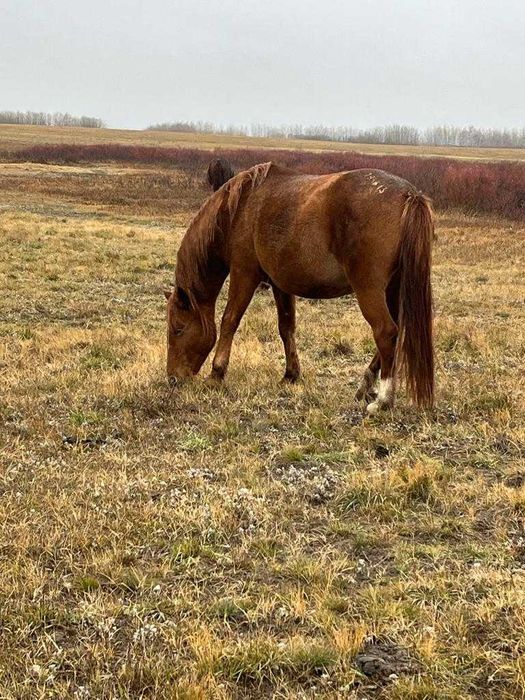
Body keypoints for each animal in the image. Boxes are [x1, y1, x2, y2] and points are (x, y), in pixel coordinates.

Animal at [164, 162, 434, 414]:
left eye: (178, 329)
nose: (173, 378)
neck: (238, 210)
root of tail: (409, 194)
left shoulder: (244, 273)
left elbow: (229, 320)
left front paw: (216, 374)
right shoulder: (280, 284)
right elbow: (286, 328)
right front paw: (290, 374)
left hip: (369, 289)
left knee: (386, 332)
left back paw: (383, 400)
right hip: (393, 290)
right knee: (394, 333)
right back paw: (365, 386)